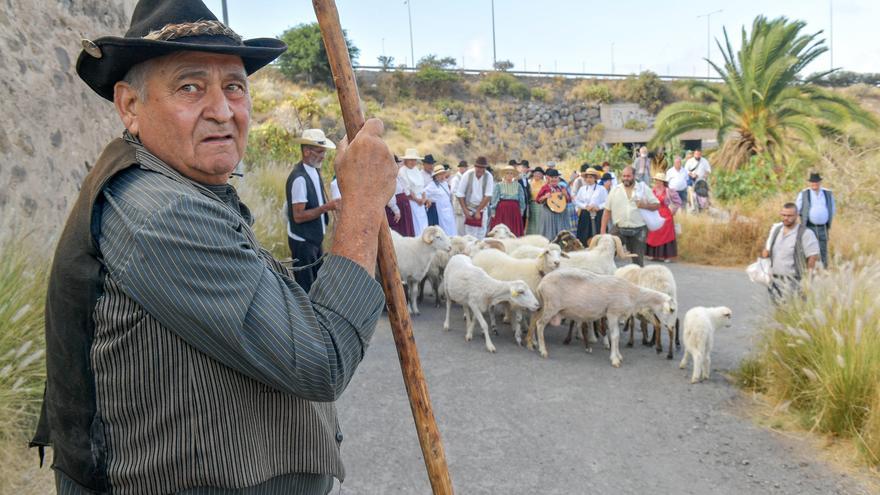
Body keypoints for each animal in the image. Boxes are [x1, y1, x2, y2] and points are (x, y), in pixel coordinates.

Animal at [528, 268, 672, 368]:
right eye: (672, 310)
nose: (670, 327)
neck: (633, 294)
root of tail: (541, 284)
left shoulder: (615, 315)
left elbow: (615, 336)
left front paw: (618, 355)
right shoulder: (612, 313)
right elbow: (615, 336)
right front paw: (615, 359)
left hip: (544, 305)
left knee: (534, 320)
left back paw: (532, 342)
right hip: (552, 306)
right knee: (540, 324)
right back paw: (543, 351)